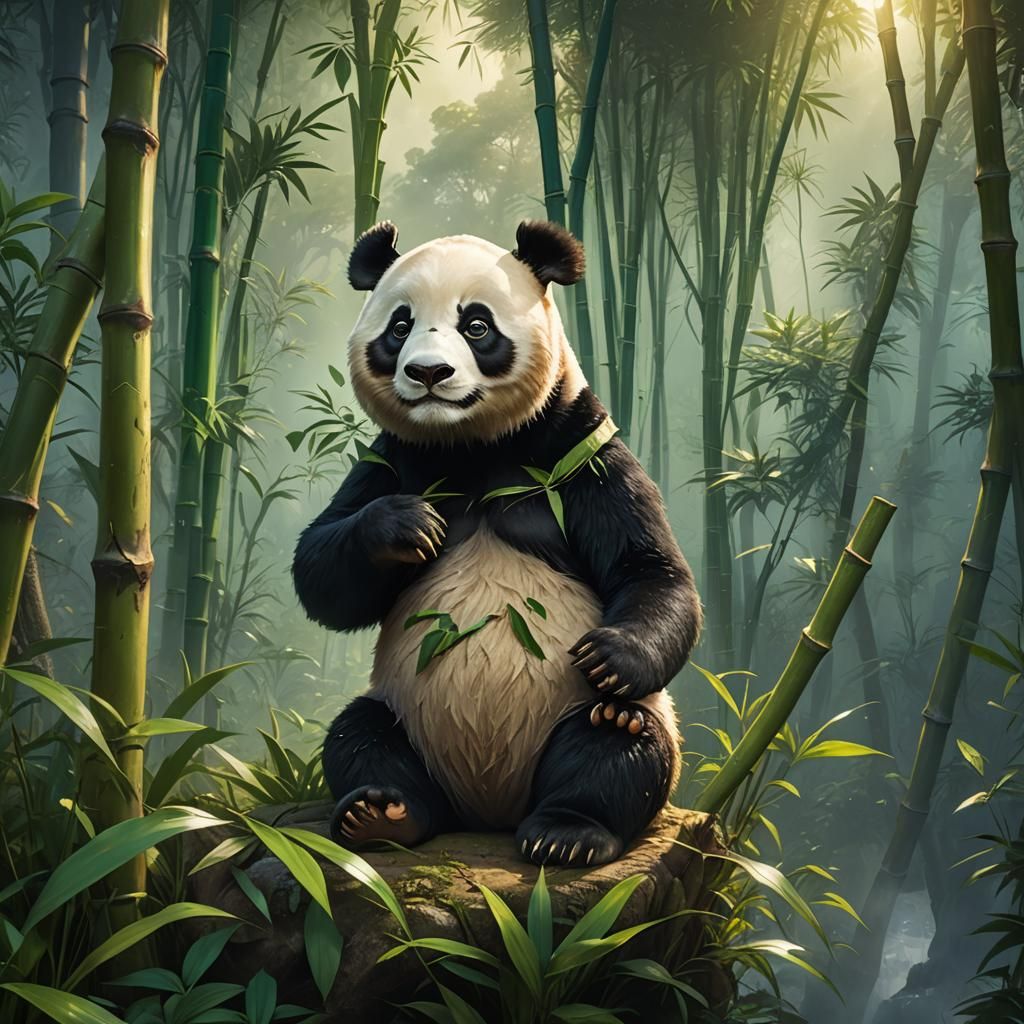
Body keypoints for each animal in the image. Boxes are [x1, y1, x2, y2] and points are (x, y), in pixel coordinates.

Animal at [292, 219, 702, 867]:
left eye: (476, 325)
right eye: (400, 326)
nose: (428, 373)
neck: (474, 446)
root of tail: (489, 813)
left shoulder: (581, 450)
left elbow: (650, 568)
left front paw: (610, 658)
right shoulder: (394, 460)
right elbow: (323, 570)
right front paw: (409, 526)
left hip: (590, 722)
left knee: (617, 744)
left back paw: (567, 831)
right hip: (403, 718)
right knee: (359, 735)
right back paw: (381, 815)